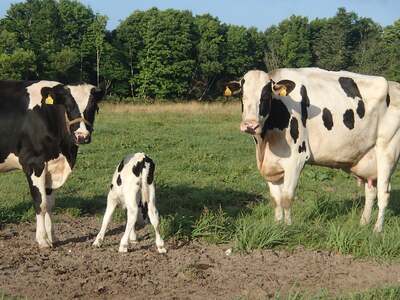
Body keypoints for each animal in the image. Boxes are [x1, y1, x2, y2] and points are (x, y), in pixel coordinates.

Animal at [228, 68, 400, 232]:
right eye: (242, 94)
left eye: (266, 95)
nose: (250, 125)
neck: (265, 143)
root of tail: (394, 85)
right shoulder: (270, 164)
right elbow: (276, 199)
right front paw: (277, 226)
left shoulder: (296, 160)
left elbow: (287, 198)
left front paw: (288, 227)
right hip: (368, 158)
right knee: (370, 192)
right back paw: (363, 224)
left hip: (387, 150)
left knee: (383, 193)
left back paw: (377, 229)